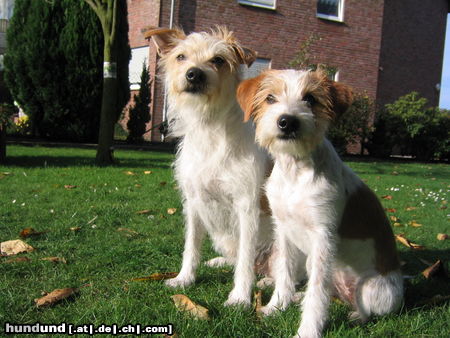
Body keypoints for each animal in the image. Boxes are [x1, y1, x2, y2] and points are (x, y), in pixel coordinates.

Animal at [147, 27, 274, 306]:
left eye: (218, 60)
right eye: (181, 57)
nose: (194, 73)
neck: (210, 127)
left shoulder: (247, 207)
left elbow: (245, 259)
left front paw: (240, 297)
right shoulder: (194, 203)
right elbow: (191, 246)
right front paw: (184, 278)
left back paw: (268, 280)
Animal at [237, 69, 402, 338]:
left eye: (310, 98)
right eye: (270, 97)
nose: (287, 121)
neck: (294, 172)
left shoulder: (323, 236)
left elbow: (317, 292)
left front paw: (308, 330)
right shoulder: (283, 230)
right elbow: (284, 272)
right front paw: (276, 306)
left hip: (372, 288)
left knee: (364, 310)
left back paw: (354, 316)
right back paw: (296, 298)